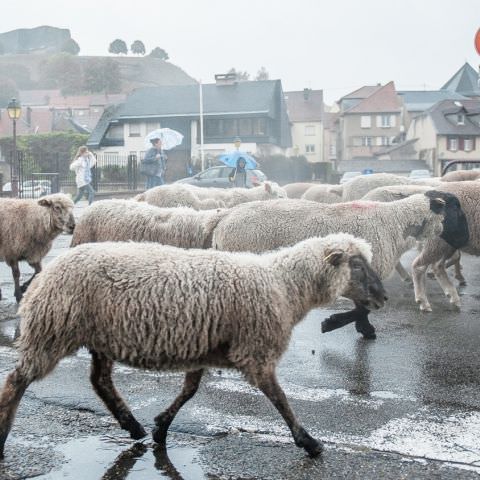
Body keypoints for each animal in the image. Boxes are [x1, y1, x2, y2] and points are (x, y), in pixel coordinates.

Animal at [0, 234, 386, 460]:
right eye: (356, 264)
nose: (382, 297)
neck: (284, 285)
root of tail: (46, 274)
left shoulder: (205, 346)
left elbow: (190, 390)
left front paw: (161, 427)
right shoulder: (255, 349)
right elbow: (280, 399)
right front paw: (308, 441)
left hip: (98, 338)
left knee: (100, 381)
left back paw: (134, 426)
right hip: (53, 330)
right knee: (16, 381)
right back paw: (3, 434)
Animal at [212, 191, 466, 338]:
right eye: (450, 212)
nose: (449, 235)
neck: (395, 222)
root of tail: (223, 219)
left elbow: (362, 307)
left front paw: (361, 328)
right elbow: (362, 308)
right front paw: (334, 324)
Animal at [410, 180, 478, 312]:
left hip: (449, 243)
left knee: (438, 265)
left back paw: (453, 296)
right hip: (438, 241)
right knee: (420, 266)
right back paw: (423, 302)